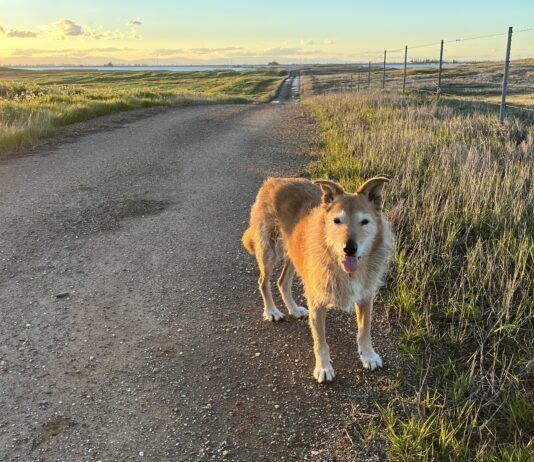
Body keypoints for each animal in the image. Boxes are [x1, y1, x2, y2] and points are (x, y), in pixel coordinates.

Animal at [243, 177, 394, 382]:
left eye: (365, 222)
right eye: (337, 221)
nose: (349, 248)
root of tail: (274, 180)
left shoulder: (365, 297)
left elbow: (365, 330)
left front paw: (368, 355)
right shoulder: (317, 301)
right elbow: (320, 340)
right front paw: (323, 367)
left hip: (295, 255)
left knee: (282, 282)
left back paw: (294, 309)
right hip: (269, 251)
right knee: (263, 282)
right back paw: (272, 311)